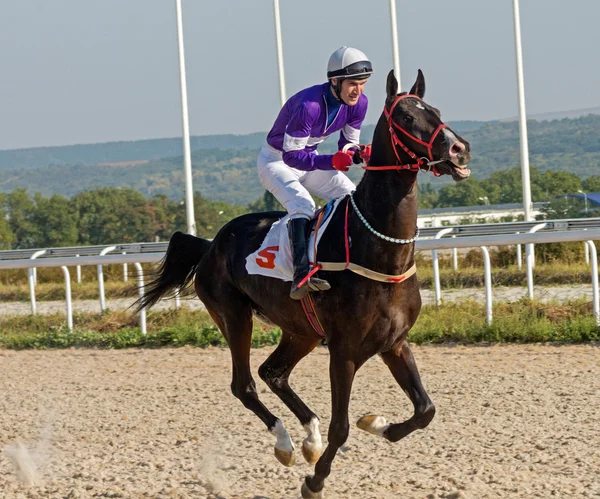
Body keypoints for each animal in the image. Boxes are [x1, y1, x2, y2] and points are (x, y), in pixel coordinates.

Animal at [137, 71, 474, 499]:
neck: (378, 252)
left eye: (435, 110)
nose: (460, 150)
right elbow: (341, 426)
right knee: (244, 385)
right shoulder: (344, 352)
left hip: (302, 331)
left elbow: (425, 410)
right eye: (406, 118)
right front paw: (315, 480)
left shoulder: (395, 343)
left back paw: (308, 438)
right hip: (233, 316)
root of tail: (210, 244)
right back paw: (285, 443)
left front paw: (377, 424)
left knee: (273, 373)